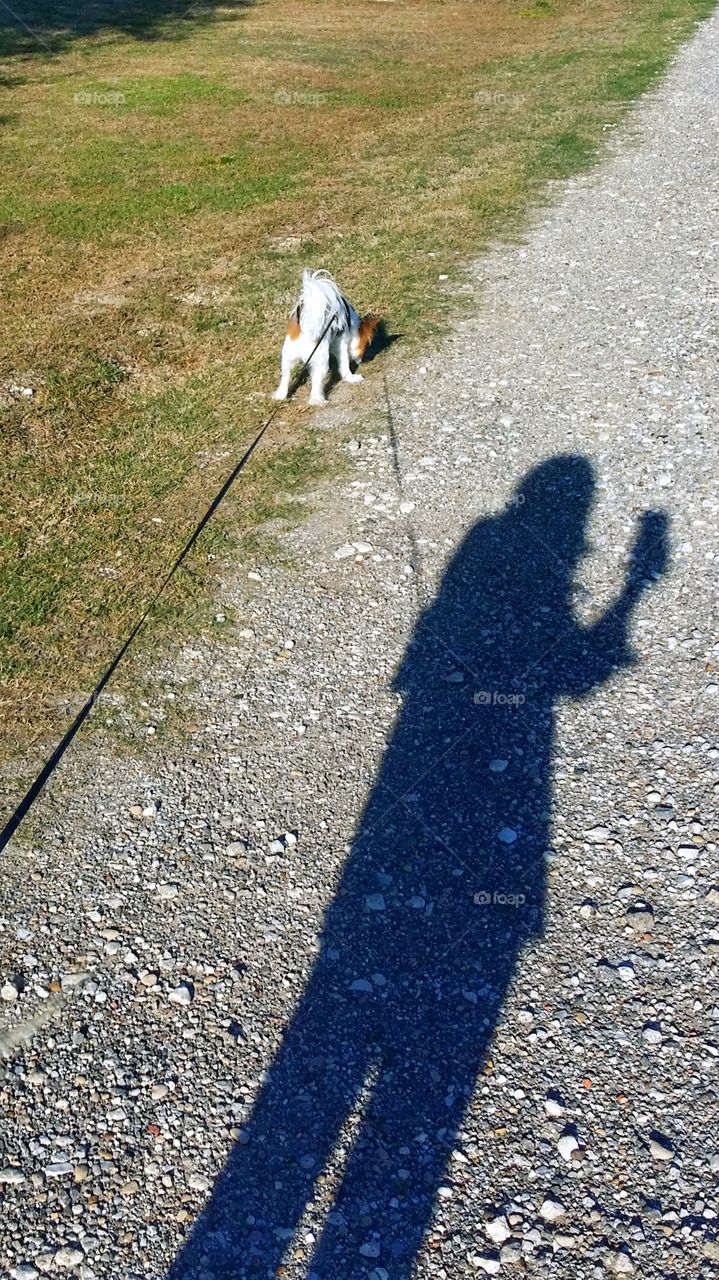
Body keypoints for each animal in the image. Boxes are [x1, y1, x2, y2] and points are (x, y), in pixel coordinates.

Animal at [271, 268, 378, 404]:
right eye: (364, 347)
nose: (362, 360)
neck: (352, 323)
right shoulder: (341, 344)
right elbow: (344, 365)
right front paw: (351, 377)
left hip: (288, 357)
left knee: (285, 378)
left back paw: (280, 395)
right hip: (320, 360)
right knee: (316, 385)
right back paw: (317, 400)